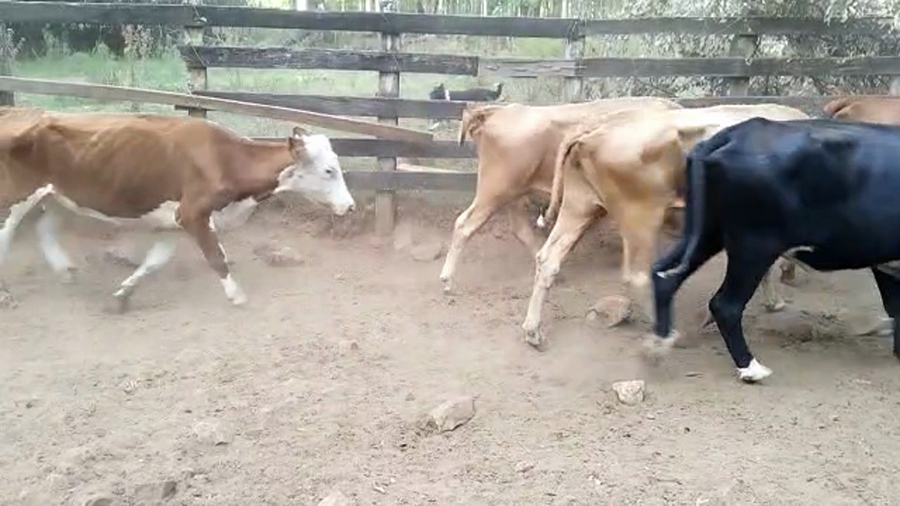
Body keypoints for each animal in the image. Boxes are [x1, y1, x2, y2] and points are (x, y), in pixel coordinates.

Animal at [0, 110, 355, 312]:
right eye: (328, 171)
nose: (350, 206)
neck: (224, 159)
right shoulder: (193, 214)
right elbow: (216, 257)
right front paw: (237, 296)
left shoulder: (172, 222)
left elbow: (154, 263)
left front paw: (122, 295)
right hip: (15, 198)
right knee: (6, 238)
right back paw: (6, 295)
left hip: (59, 197)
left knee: (44, 229)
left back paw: (65, 270)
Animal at [438, 96, 684, 295]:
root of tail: (496, 111)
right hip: (496, 189)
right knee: (465, 224)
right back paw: (447, 280)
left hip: (514, 193)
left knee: (520, 230)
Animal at [521, 104, 809, 348]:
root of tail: (599, 124)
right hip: (641, 216)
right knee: (637, 276)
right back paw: (665, 330)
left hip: (579, 206)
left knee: (548, 259)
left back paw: (533, 331)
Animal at [648, 117, 900, 383]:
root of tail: (732, 134)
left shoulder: (886, 263)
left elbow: (894, 307)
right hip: (754, 245)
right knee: (725, 305)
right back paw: (751, 369)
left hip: (707, 232)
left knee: (663, 276)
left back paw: (659, 345)